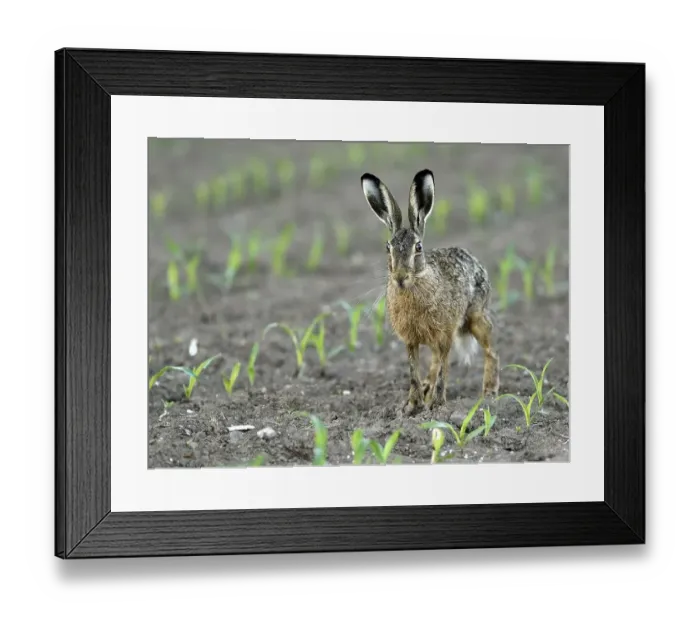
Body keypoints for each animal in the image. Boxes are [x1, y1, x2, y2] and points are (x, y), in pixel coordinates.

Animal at [360, 168, 500, 414]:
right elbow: (413, 370)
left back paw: (489, 393)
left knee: (490, 351)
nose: (400, 278)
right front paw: (411, 406)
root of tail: (473, 260)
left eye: (418, 247)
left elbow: (445, 368)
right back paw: (427, 388)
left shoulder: (446, 334)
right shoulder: (411, 340)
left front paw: (437, 405)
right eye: (387, 248)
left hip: (475, 317)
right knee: (435, 361)